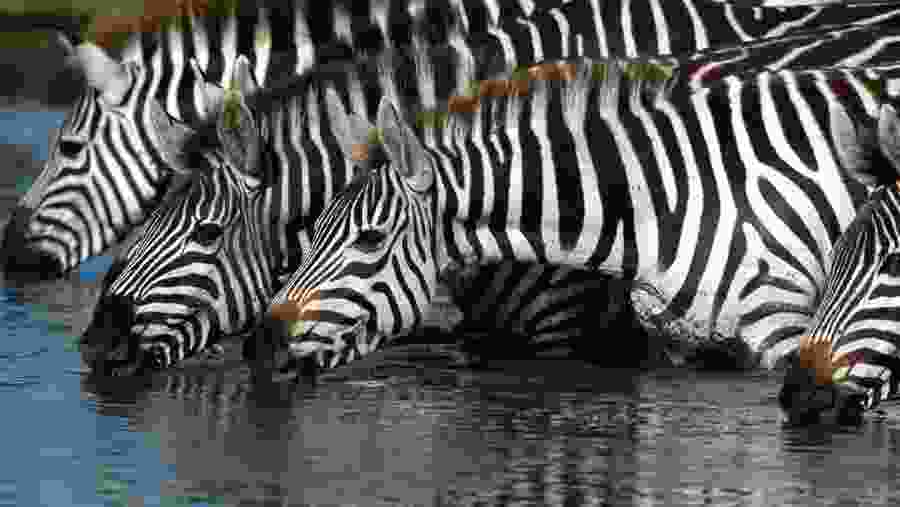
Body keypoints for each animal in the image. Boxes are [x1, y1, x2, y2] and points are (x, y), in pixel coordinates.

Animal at [248, 56, 900, 400]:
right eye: (313, 231)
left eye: (369, 240)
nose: (262, 346)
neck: (665, 207)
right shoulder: (676, 343)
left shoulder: (789, 330)